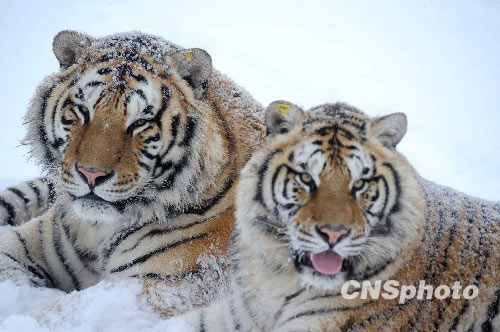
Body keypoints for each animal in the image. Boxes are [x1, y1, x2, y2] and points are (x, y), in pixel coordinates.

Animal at [0, 30, 266, 314]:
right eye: (82, 111)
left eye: (140, 123)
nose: (91, 175)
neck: (98, 231)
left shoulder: (166, 285)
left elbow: (58, 313)